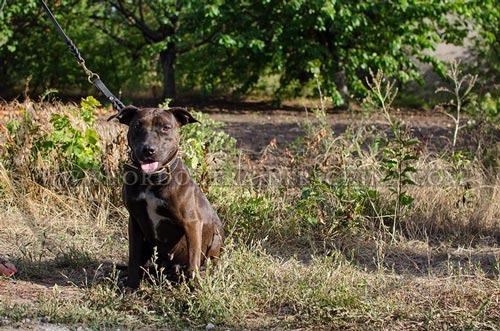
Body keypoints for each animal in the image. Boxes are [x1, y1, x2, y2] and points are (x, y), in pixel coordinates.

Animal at [112, 107, 226, 290]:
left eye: (165, 127)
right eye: (137, 125)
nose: (148, 149)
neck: (151, 180)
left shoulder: (191, 223)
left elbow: (193, 260)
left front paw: (194, 288)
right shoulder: (135, 221)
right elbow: (133, 257)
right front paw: (131, 285)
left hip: (216, 239)